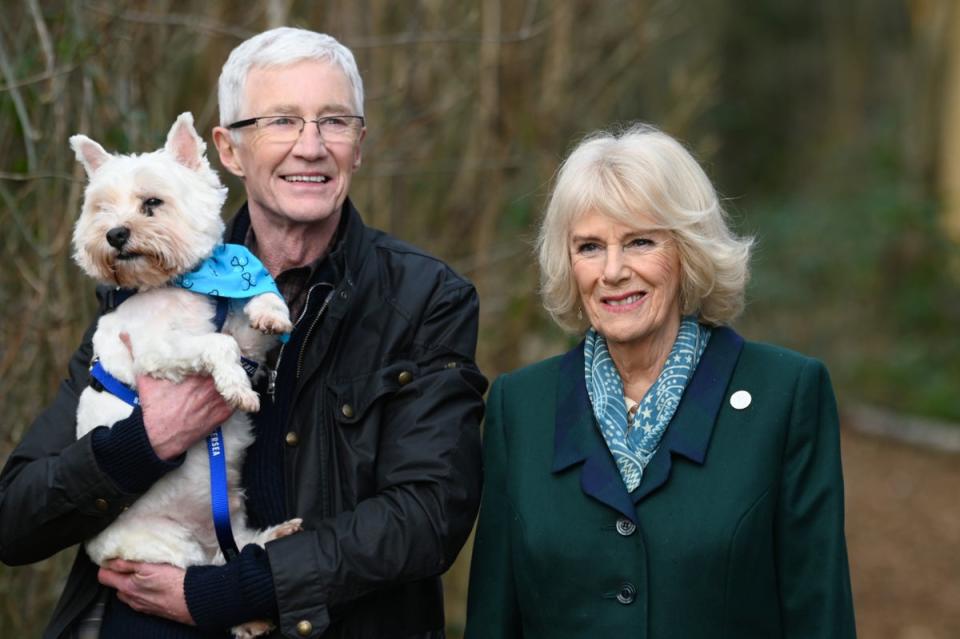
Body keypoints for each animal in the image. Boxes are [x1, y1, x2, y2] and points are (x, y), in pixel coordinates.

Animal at [71, 114, 300, 636]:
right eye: (101, 208)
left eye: (151, 203)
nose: (114, 234)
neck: (185, 282)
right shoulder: (159, 350)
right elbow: (219, 345)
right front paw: (236, 387)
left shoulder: (242, 327)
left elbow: (255, 305)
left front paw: (272, 311)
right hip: (167, 547)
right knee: (210, 574)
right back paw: (250, 617)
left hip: (230, 525)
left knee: (243, 551)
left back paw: (280, 534)